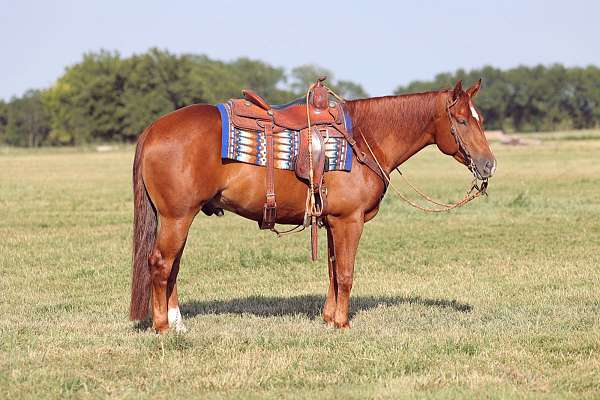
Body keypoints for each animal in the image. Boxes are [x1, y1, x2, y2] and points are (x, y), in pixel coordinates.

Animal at [130, 79, 496, 332]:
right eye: (462, 121)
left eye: (479, 118)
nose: (489, 164)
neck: (365, 137)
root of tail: (153, 128)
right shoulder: (349, 221)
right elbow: (346, 273)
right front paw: (343, 324)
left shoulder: (333, 221)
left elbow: (333, 271)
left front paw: (329, 318)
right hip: (177, 217)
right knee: (161, 264)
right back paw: (163, 327)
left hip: (178, 218)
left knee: (173, 266)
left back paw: (177, 323)